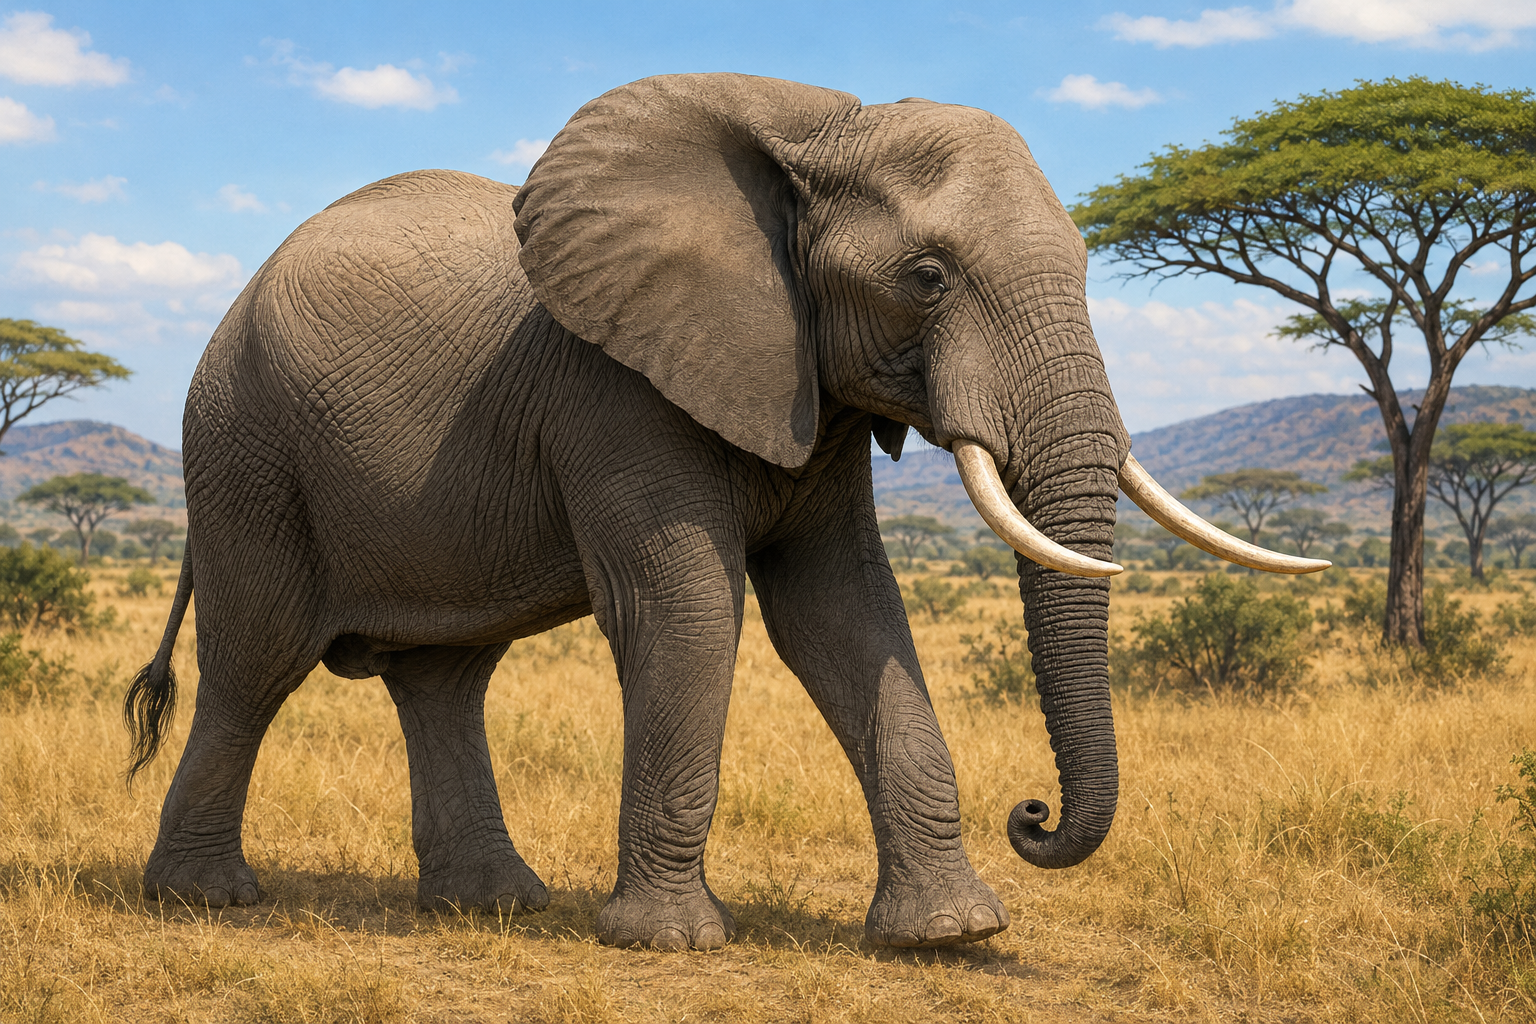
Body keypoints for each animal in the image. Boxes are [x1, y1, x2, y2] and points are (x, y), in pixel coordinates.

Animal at [125, 73, 1321, 951]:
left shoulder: (811, 394)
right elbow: (687, 609)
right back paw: (204, 900)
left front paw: (951, 936)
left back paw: (494, 904)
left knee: (444, 675)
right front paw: (670, 943)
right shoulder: (617, 390)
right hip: (242, 448)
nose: (1030, 815)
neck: (815, 128)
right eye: (928, 277)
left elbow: (846, 613)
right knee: (258, 659)